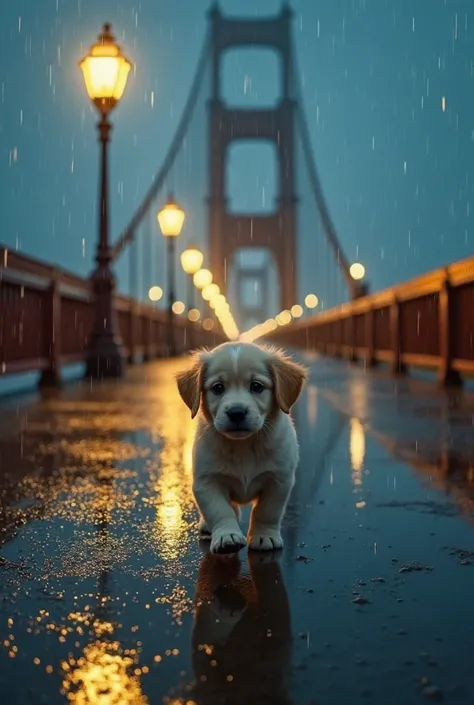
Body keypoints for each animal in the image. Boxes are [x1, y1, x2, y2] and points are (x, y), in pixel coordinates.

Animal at [176, 340, 306, 552]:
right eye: (218, 388)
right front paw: (227, 536)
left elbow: (266, 511)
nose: (236, 412)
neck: (244, 445)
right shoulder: (207, 482)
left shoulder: (279, 480)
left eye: (256, 386)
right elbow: (220, 511)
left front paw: (264, 536)